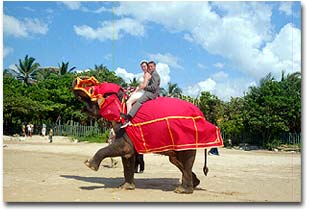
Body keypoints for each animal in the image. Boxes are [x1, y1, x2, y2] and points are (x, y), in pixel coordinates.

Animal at [71, 78, 209, 194]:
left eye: (93, 88)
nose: (76, 80)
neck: (123, 97)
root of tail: (202, 115)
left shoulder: (125, 126)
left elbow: (124, 148)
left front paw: (88, 164)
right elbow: (128, 156)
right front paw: (125, 187)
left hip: (187, 136)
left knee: (185, 160)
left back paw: (182, 190)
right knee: (175, 160)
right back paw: (194, 183)